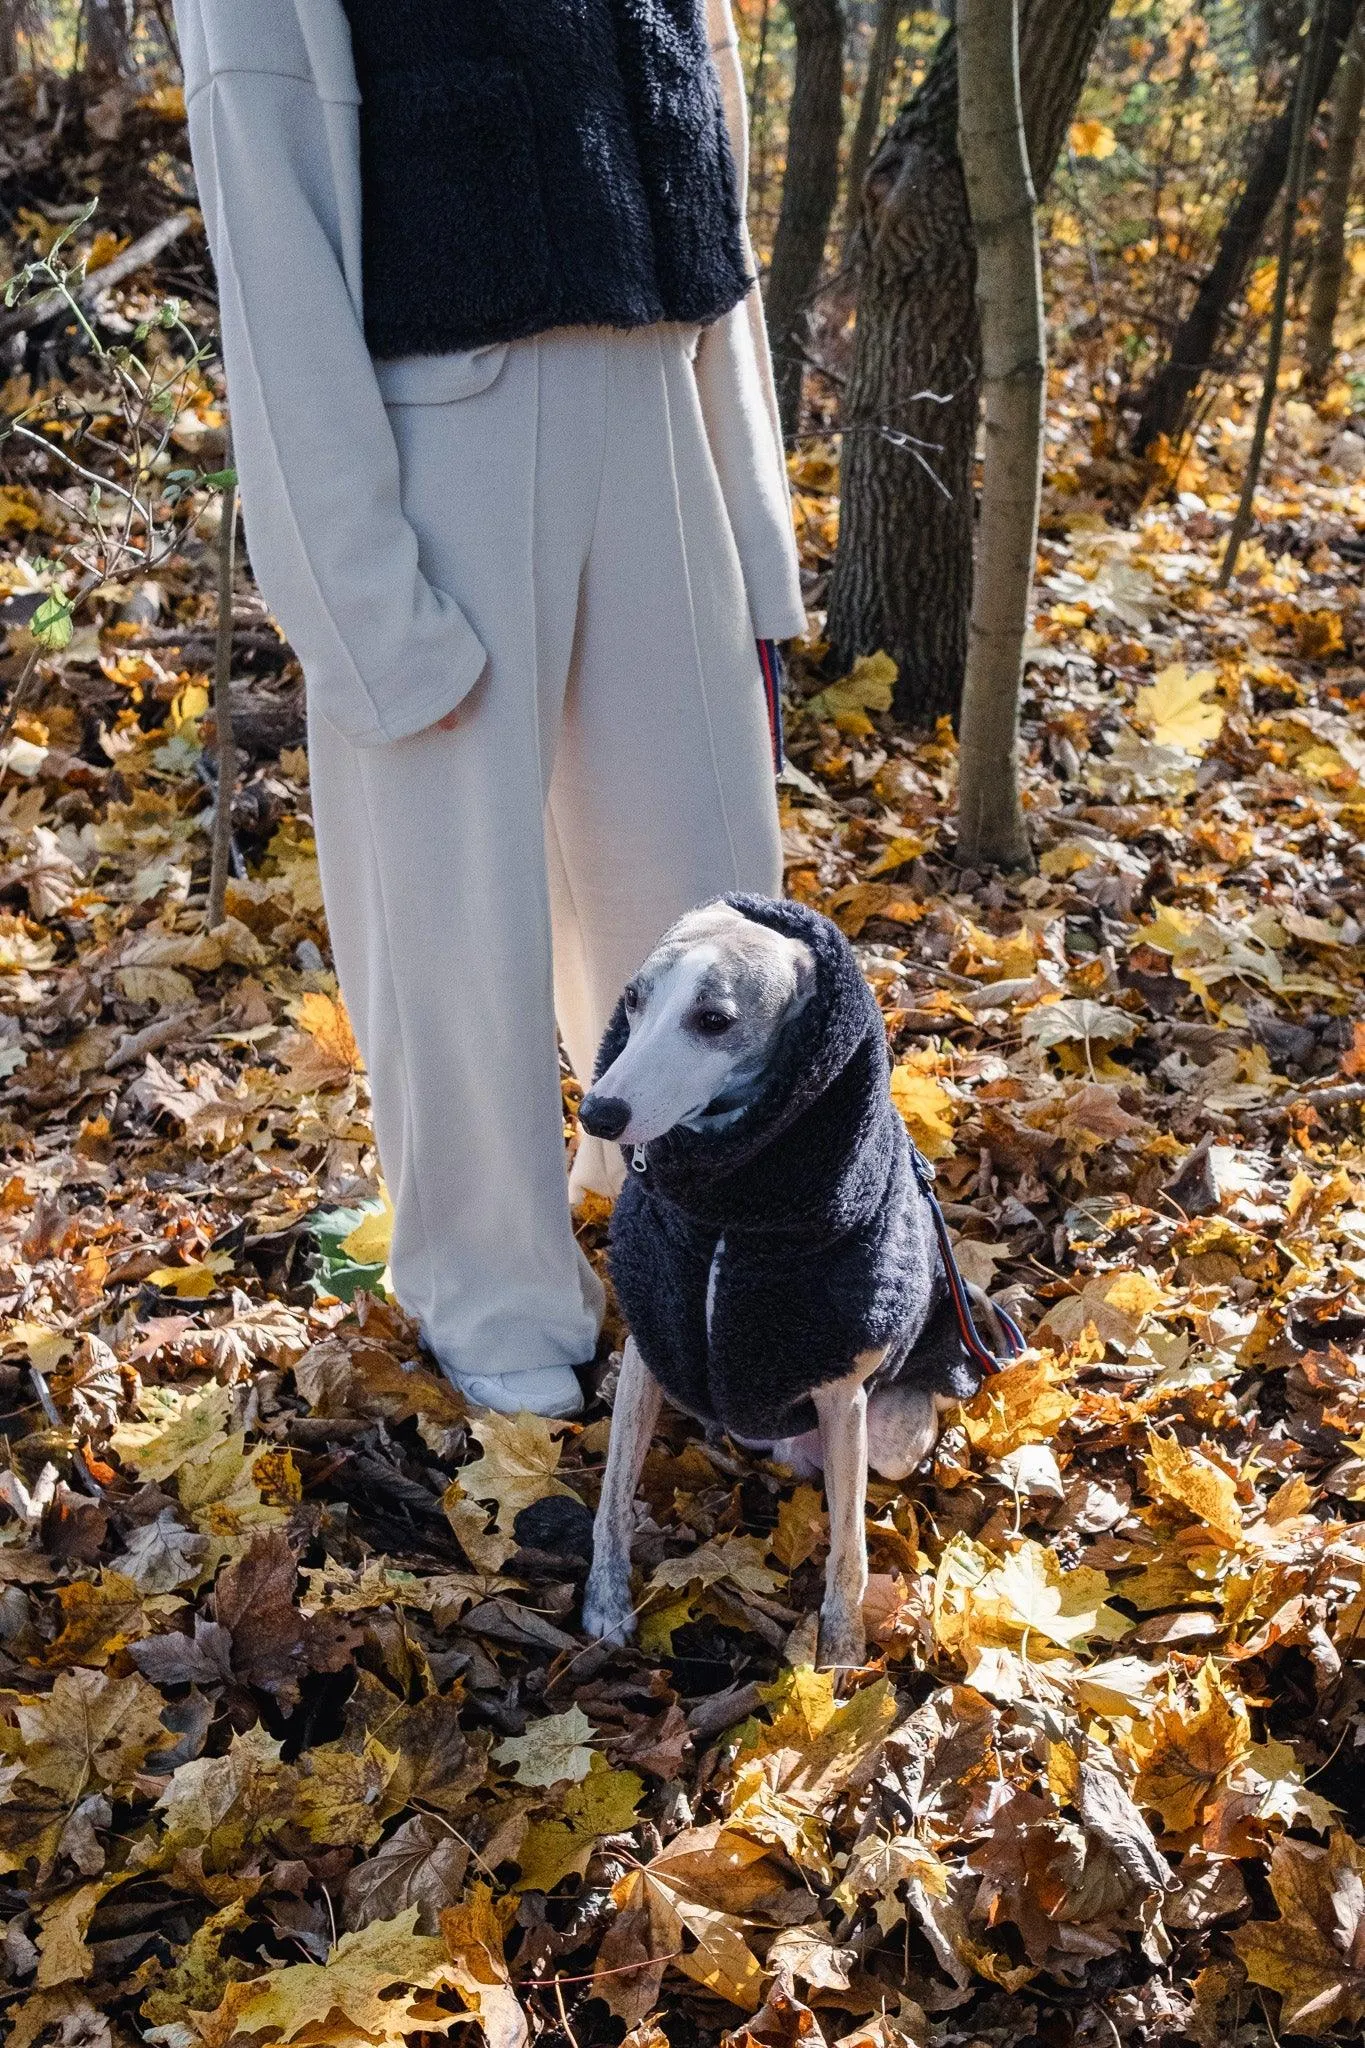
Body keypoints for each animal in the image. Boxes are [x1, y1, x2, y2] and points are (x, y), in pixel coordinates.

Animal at [573, 892, 1015, 1662]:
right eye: (631, 999)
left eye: (714, 1020)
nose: (598, 1112)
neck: (726, 1208)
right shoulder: (649, 1343)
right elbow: (611, 1496)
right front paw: (606, 1604)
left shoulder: (841, 1389)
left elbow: (849, 1552)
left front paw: (838, 1656)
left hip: (887, 1438)